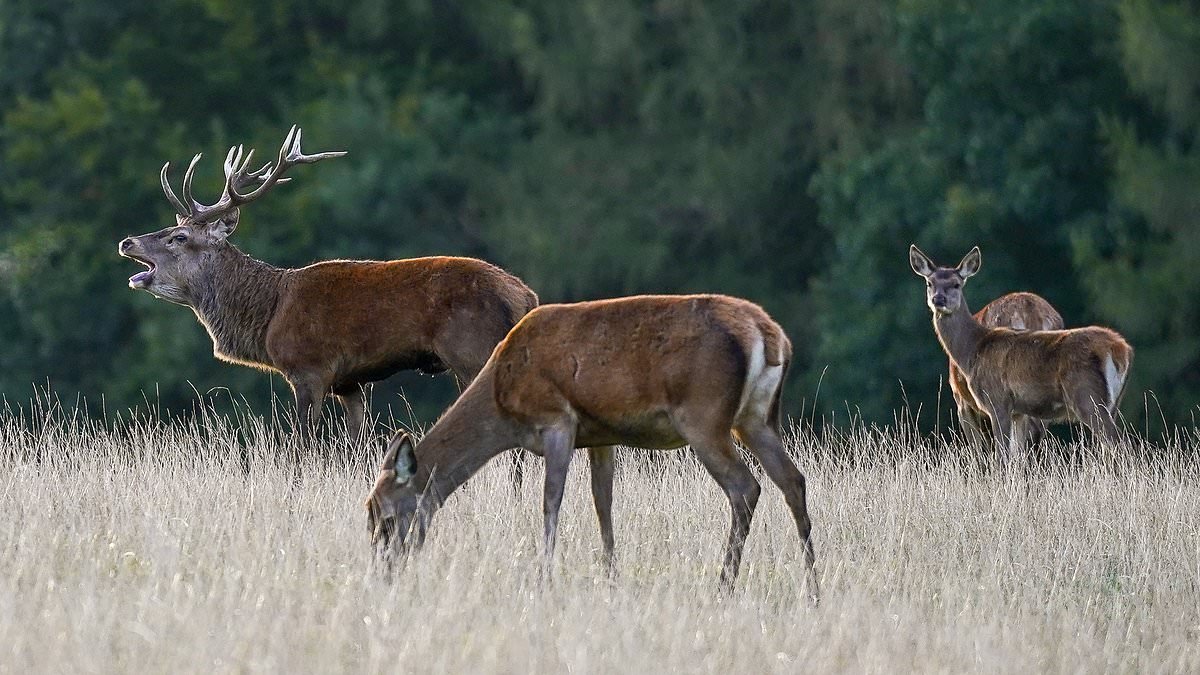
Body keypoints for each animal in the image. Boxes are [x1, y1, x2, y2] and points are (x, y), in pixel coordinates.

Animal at [118, 126, 539, 454]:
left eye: (179, 237)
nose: (127, 242)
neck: (268, 314)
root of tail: (524, 297)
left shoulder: (309, 368)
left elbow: (300, 447)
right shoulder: (349, 382)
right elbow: (356, 447)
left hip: (473, 351)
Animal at [364, 294, 819, 600]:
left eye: (385, 516)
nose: (383, 571)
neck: (500, 400)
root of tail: (771, 337)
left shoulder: (557, 420)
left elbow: (551, 500)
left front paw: (544, 579)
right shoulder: (602, 435)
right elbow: (604, 503)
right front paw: (611, 578)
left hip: (704, 417)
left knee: (746, 487)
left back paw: (723, 586)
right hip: (757, 418)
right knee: (793, 481)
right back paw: (813, 589)